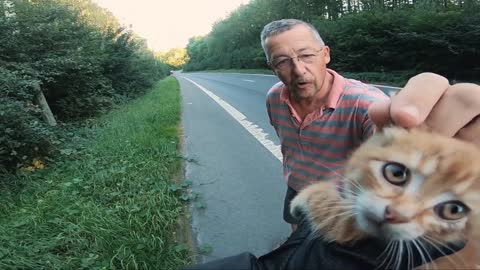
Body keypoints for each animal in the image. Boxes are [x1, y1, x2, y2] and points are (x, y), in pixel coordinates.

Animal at [290, 127, 478, 268]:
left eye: (453, 210)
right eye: (396, 173)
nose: (395, 214)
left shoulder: (350, 227)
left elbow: (332, 215)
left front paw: (303, 196)